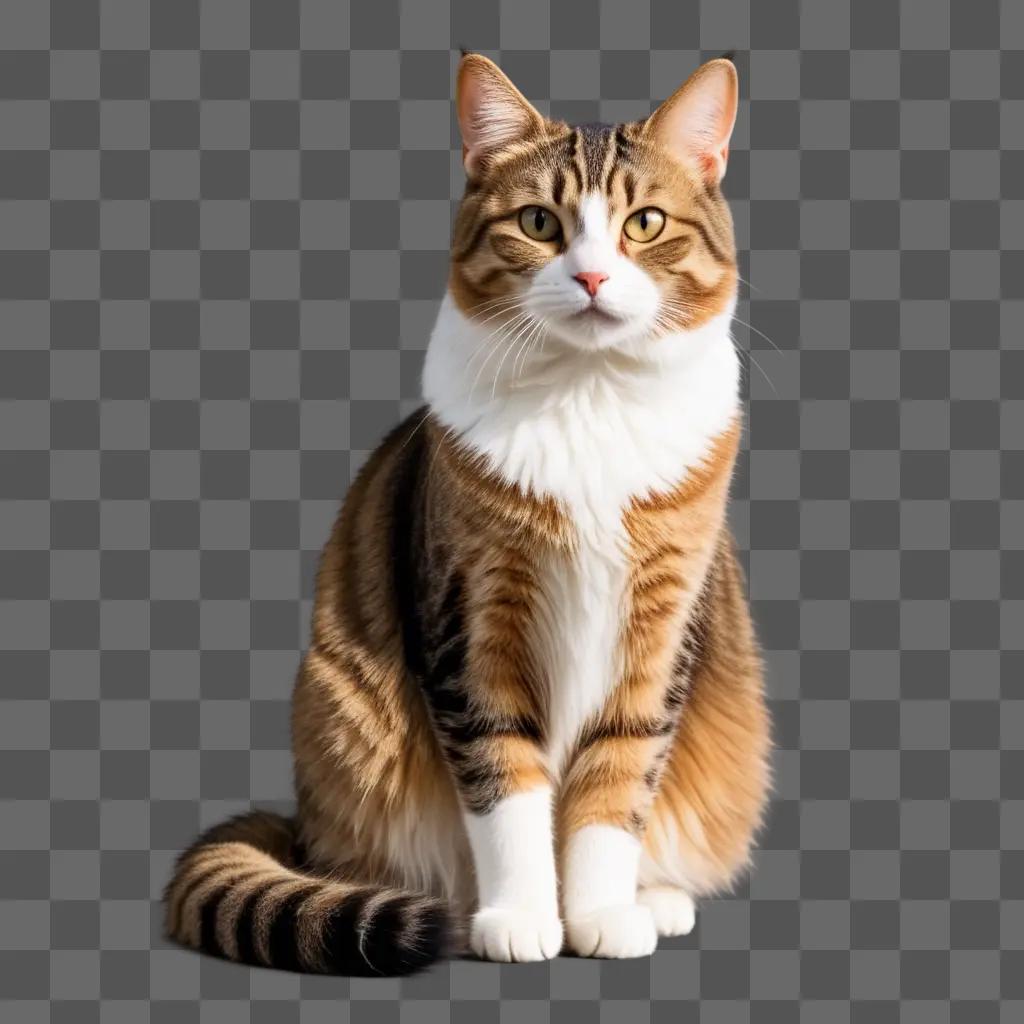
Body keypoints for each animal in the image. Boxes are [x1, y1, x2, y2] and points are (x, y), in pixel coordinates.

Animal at [163, 51, 770, 970]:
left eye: (645, 224)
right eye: (540, 222)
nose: (592, 276)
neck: (587, 396)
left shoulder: (658, 636)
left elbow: (616, 782)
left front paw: (599, 912)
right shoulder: (473, 624)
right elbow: (505, 783)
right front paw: (522, 916)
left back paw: (656, 899)